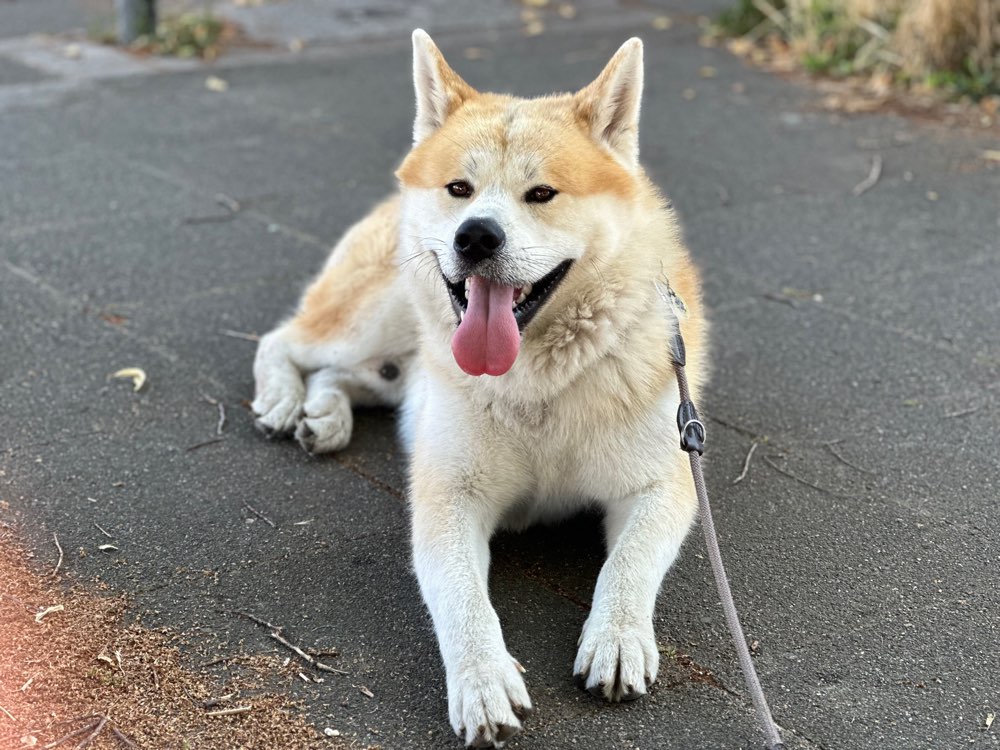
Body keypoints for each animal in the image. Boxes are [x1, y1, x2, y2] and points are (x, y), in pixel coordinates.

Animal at [256, 27, 712, 748]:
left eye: (542, 194)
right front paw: (483, 679)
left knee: (342, 376)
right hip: (375, 317)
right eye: (459, 188)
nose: (476, 235)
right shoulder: (448, 497)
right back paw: (282, 397)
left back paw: (324, 416)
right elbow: (463, 600)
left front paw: (617, 636)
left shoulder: (662, 484)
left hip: (388, 364)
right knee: (284, 341)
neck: (537, 385)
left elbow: (630, 563)